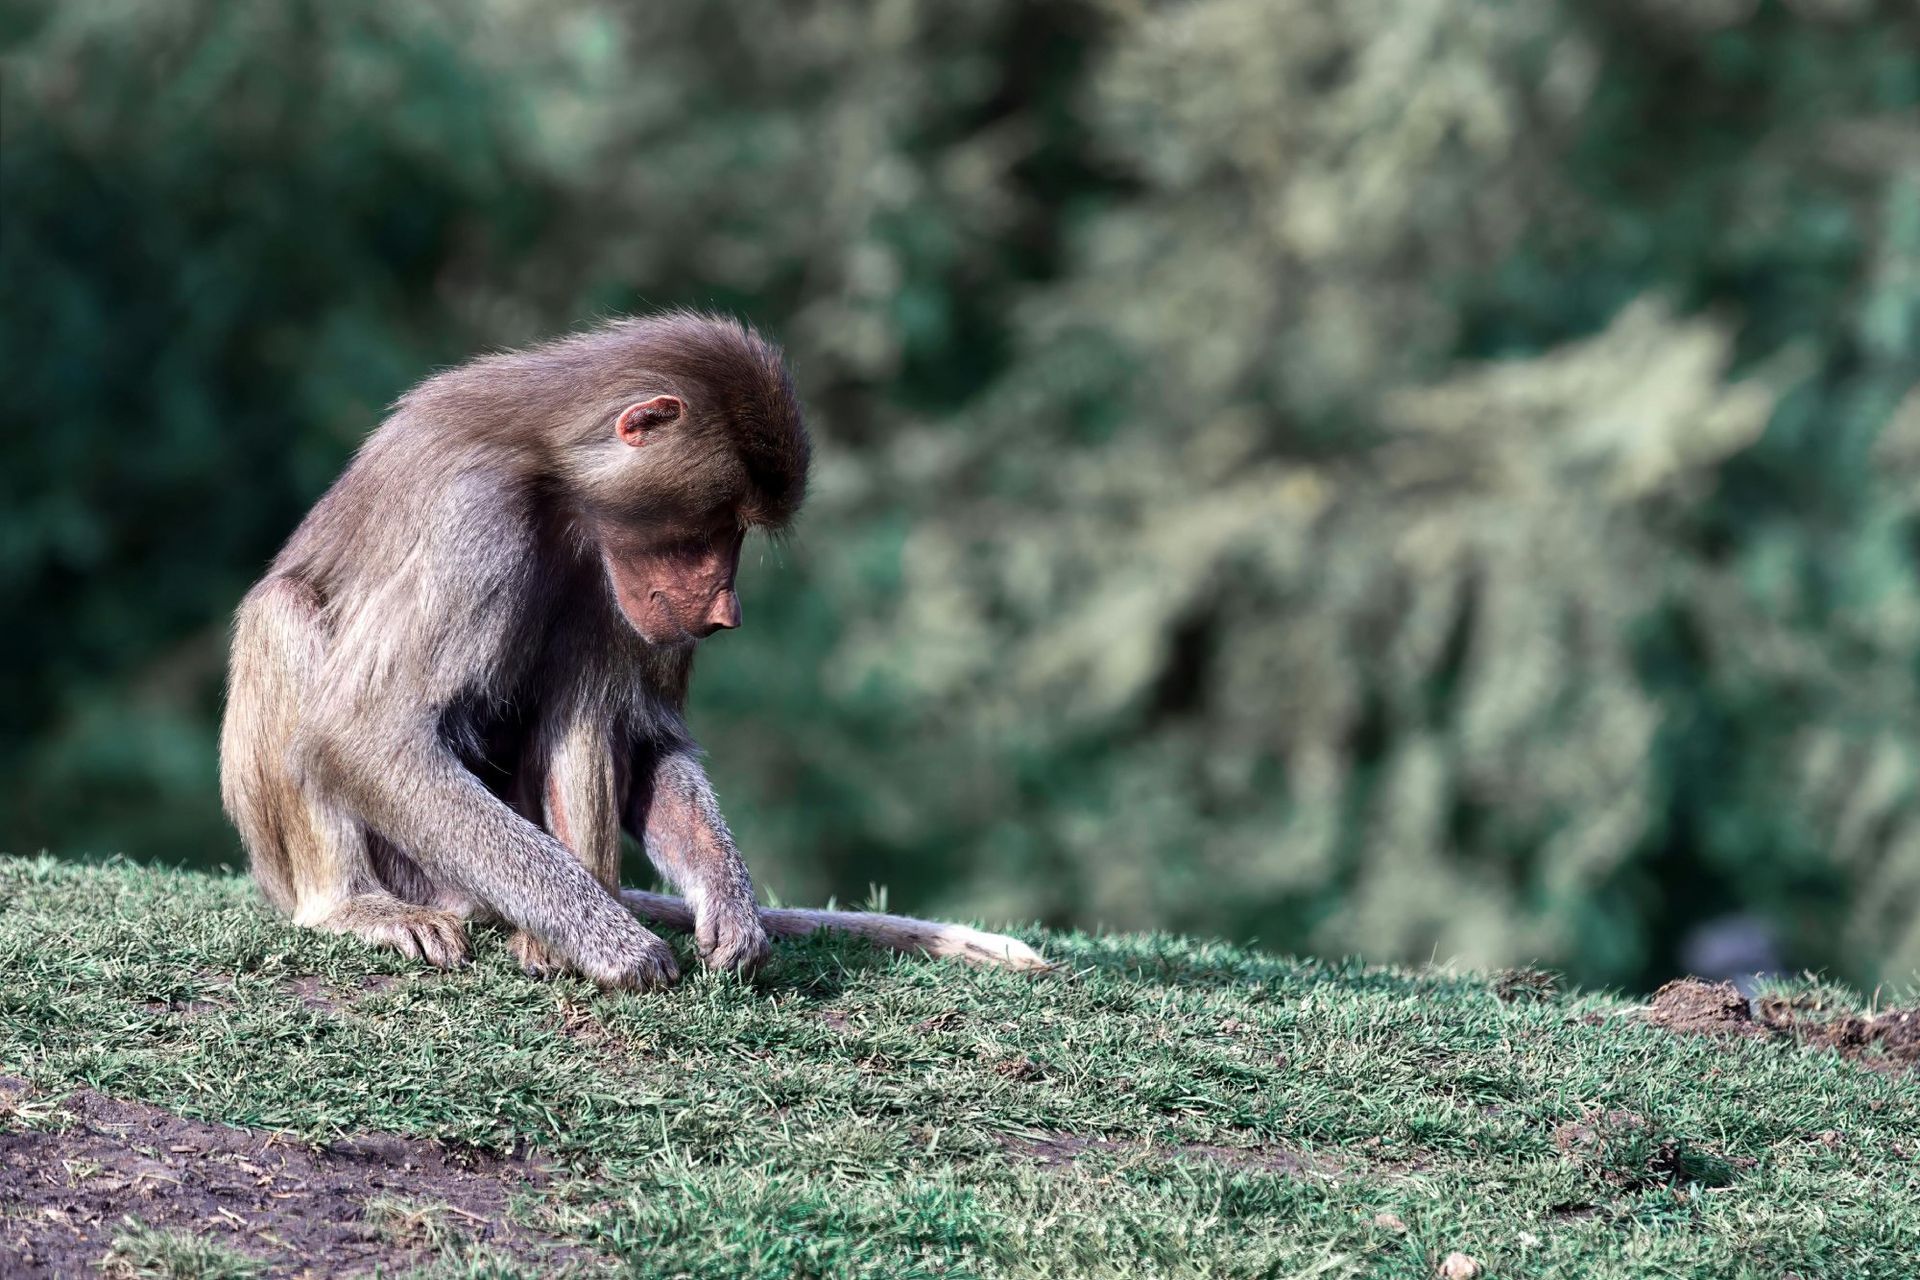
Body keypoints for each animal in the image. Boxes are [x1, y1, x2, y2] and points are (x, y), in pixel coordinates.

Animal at [218, 311, 1046, 988]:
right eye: (710, 527)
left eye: (738, 531)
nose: (725, 611)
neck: (560, 480)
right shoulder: (478, 520)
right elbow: (364, 734)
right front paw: (613, 945)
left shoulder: (619, 576)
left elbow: (644, 734)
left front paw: (725, 900)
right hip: (404, 866)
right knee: (282, 612)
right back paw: (356, 907)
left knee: (588, 689)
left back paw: (551, 938)